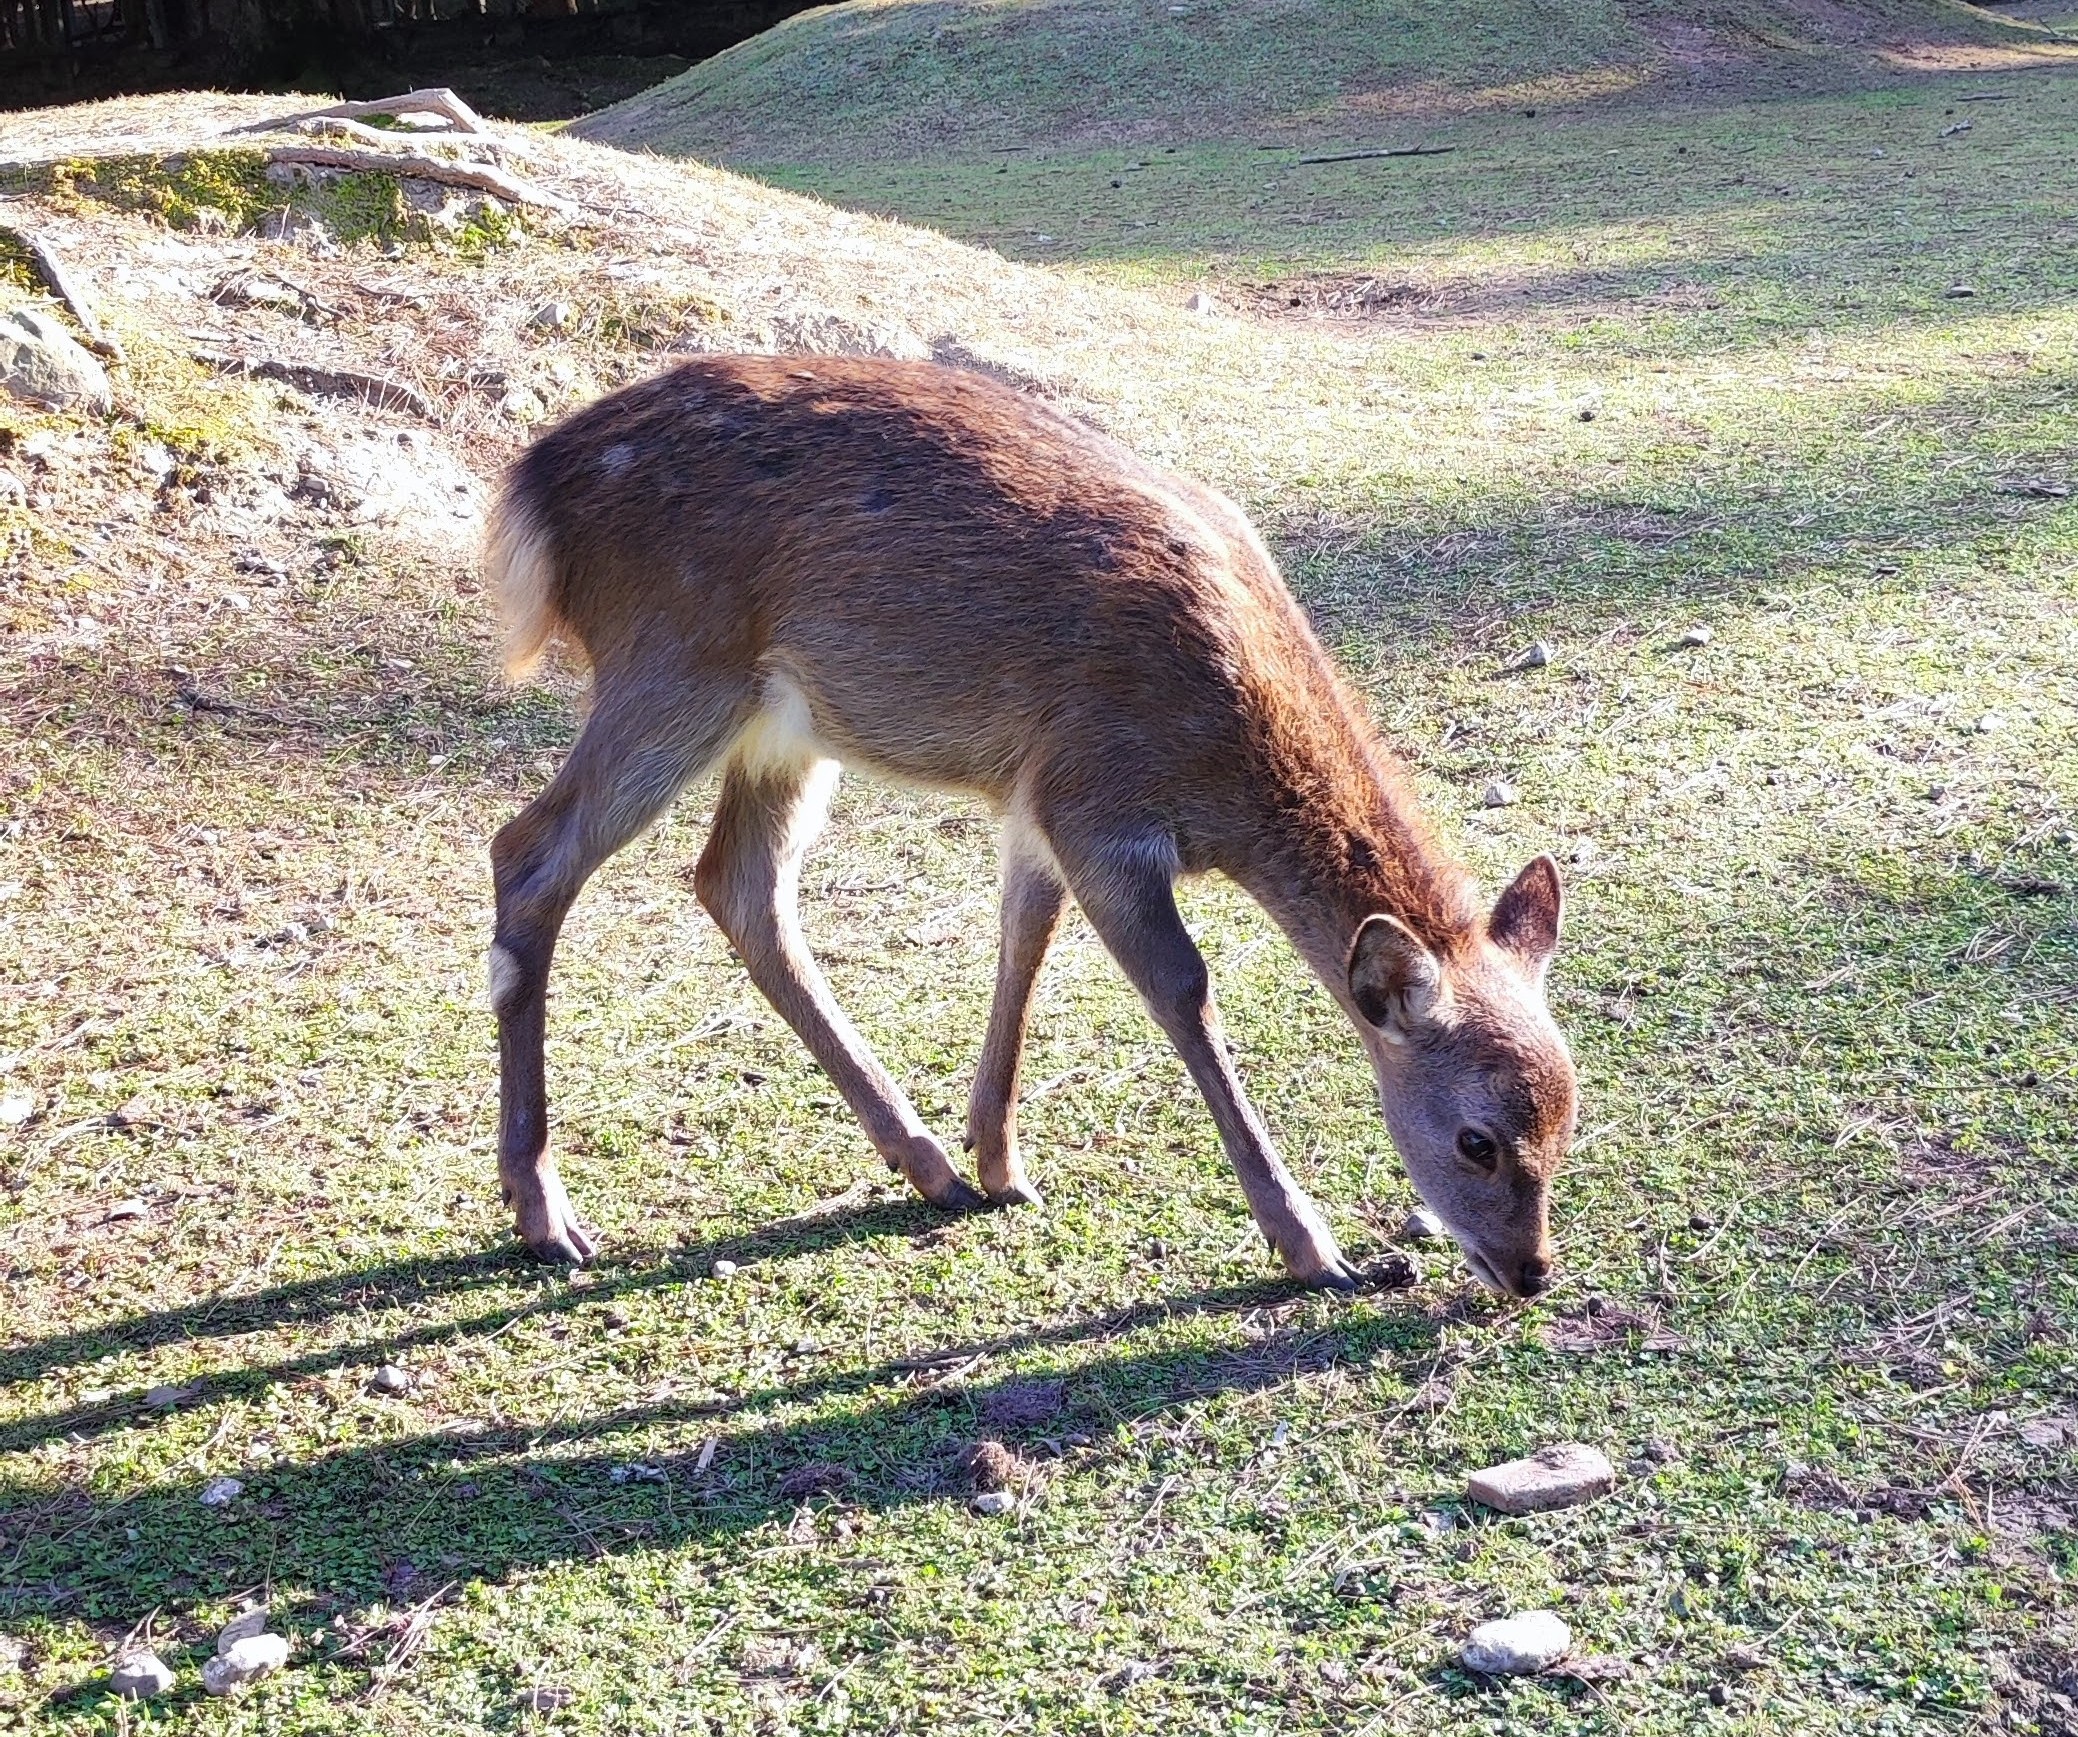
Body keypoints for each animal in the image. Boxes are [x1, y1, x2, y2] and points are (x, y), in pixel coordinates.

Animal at [486, 359, 1579, 1296]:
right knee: (530, 852)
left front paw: (1001, 1160)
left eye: (1570, 1118)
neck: (1226, 761)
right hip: (673, 664)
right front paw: (1311, 1245)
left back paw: (925, 1162)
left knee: (737, 882)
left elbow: (1024, 940)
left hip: (782, 724)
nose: (1528, 1271)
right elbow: (1184, 991)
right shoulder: (1096, 801)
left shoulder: (1036, 800)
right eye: (1476, 1139)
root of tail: (532, 488)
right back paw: (546, 1213)